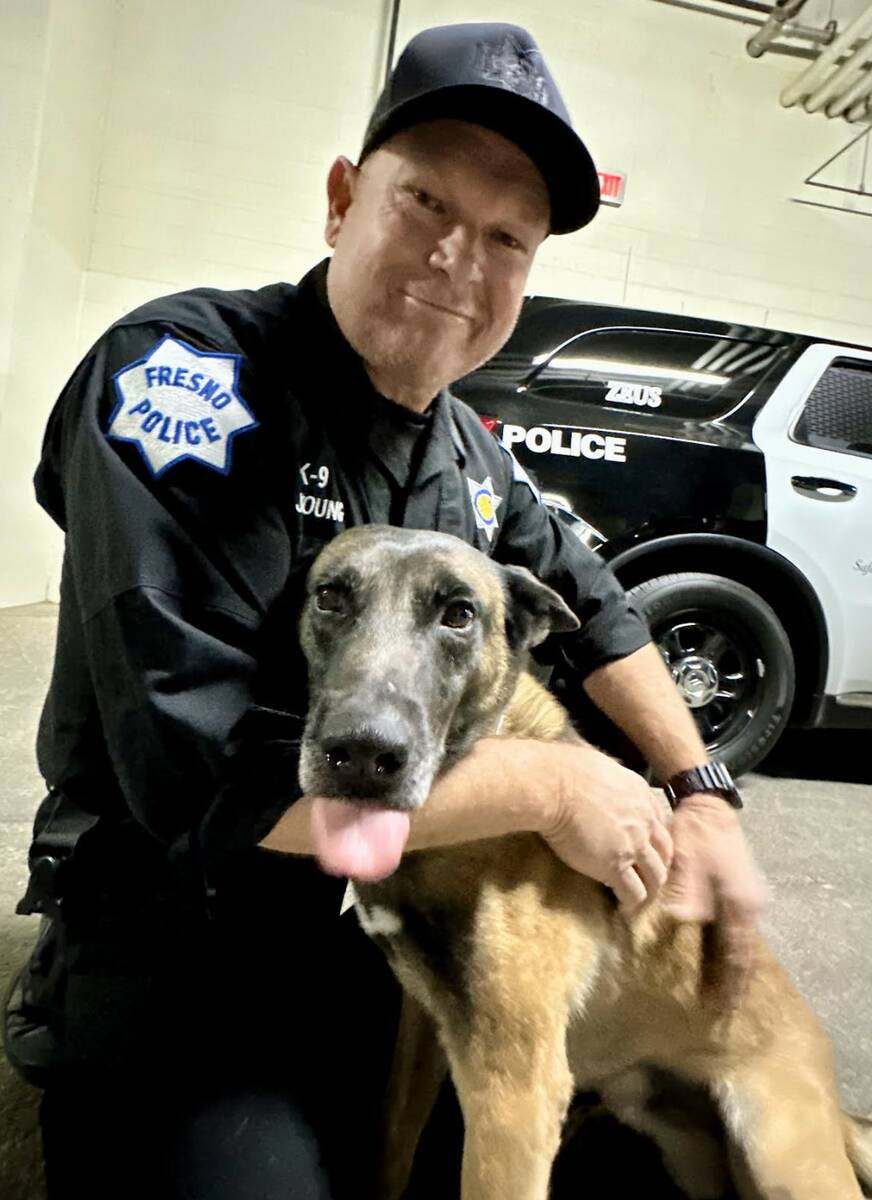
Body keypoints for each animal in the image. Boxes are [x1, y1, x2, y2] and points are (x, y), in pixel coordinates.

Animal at [296, 528, 868, 1200]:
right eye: (330, 598)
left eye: (459, 614)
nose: (361, 756)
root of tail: (836, 1109)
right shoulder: (426, 1026)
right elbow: (392, 1143)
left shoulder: (513, 1091)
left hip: (779, 1155)